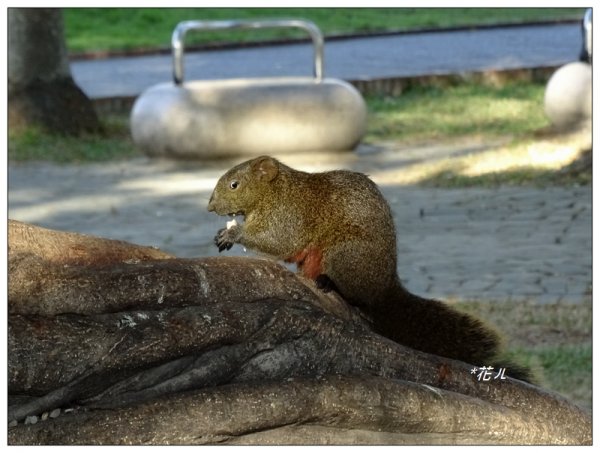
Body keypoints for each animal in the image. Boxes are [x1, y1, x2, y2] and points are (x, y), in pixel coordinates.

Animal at [209, 155, 532, 382]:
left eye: (235, 184)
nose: (210, 207)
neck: (275, 191)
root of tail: (386, 286)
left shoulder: (289, 216)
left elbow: (279, 241)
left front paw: (233, 234)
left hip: (344, 255)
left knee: (358, 296)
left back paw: (332, 286)